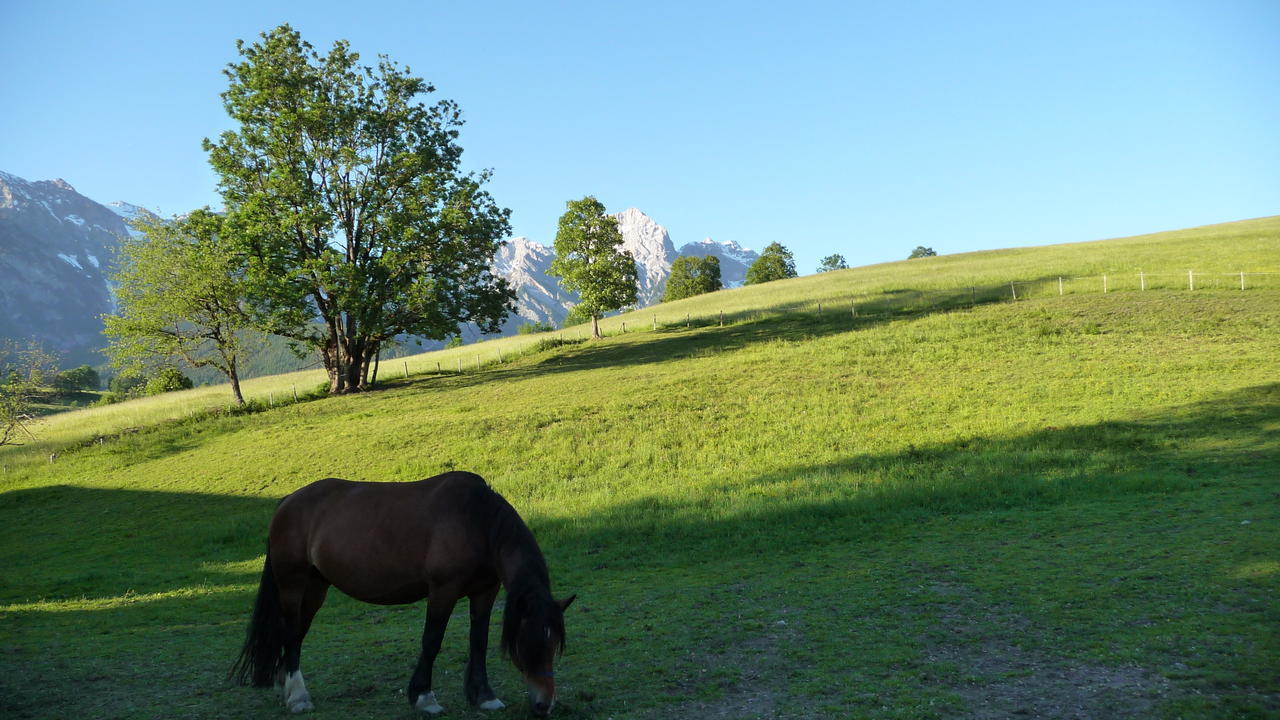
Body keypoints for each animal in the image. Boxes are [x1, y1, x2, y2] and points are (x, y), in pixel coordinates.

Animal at [230, 471, 576, 712]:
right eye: (528, 640)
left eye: (554, 643)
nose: (545, 705)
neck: (476, 521)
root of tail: (288, 500)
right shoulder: (443, 591)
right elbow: (432, 641)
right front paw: (424, 697)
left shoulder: (485, 592)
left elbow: (478, 641)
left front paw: (484, 697)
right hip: (293, 585)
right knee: (290, 633)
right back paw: (299, 697)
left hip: (315, 589)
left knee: (296, 634)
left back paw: (286, 686)